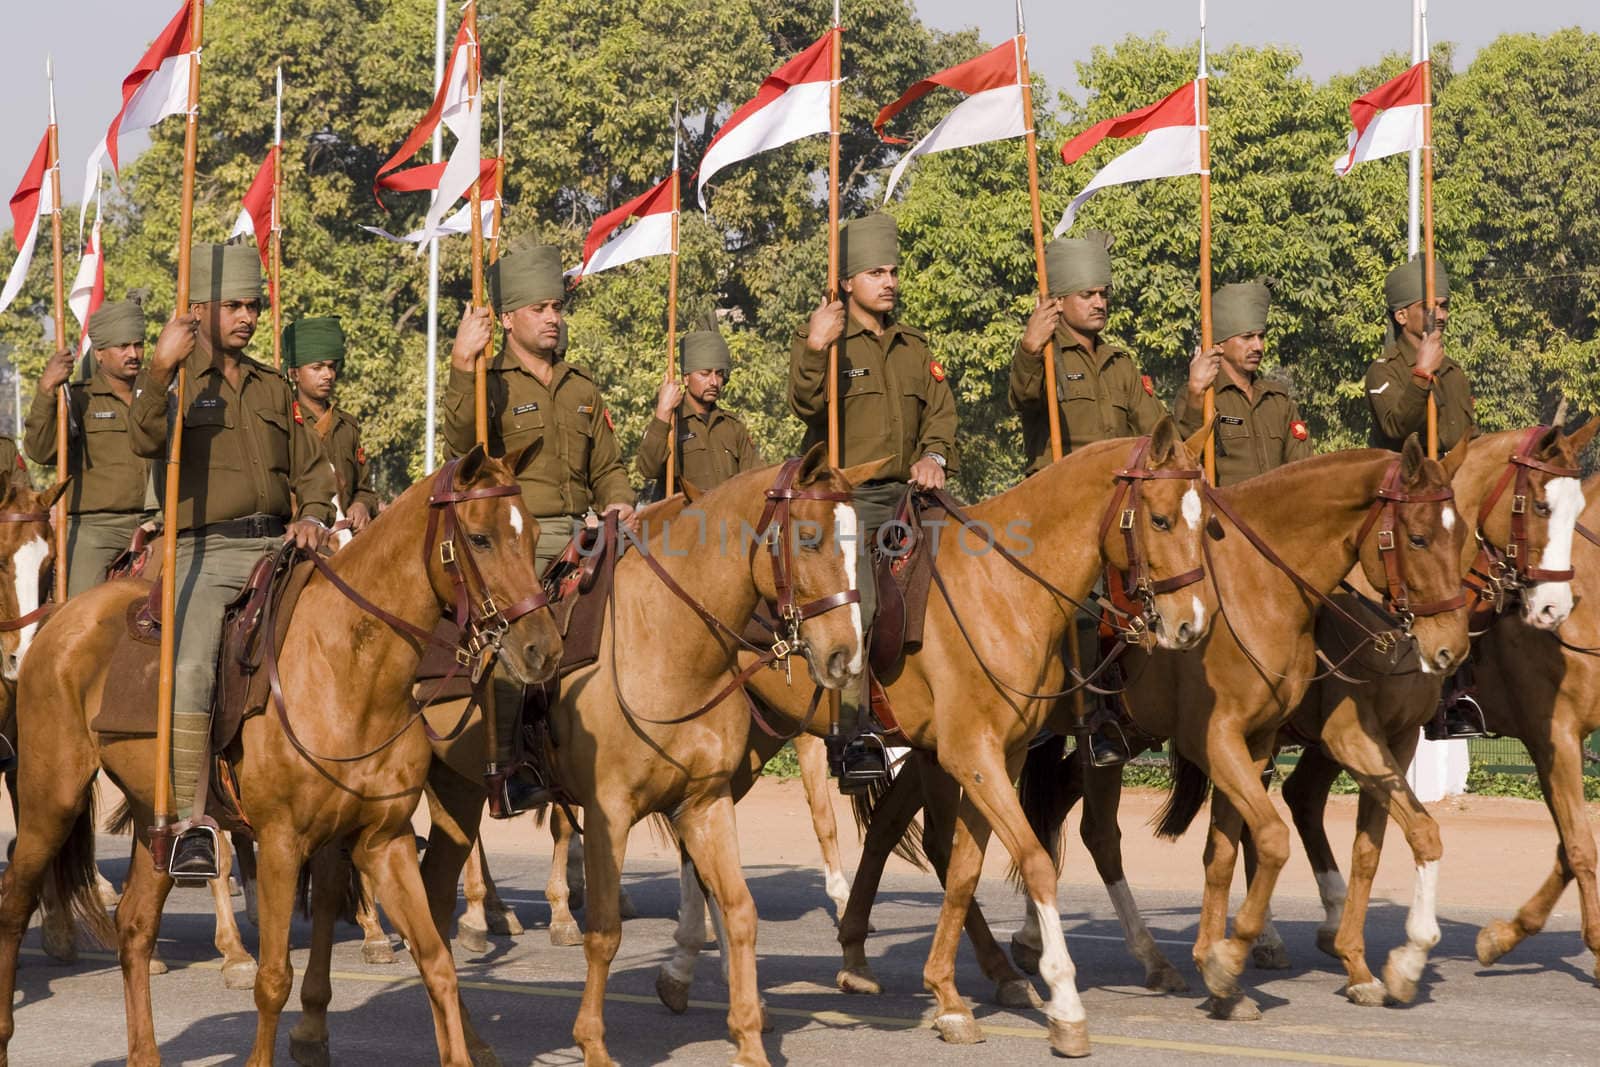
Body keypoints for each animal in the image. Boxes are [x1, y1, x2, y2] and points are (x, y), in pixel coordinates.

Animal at [0, 444, 563, 1067]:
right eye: (481, 538)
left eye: (535, 532)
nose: (543, 649)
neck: (347, 668)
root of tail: (59, 618)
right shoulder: (279, 843)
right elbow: (273, 979)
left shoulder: (383, 840)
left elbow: (436, 961)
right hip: (51, 799)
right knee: (14, 904)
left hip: (156, 821)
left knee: (135, 925)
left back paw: (145, 1052)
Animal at [656, 422, 1216, 1055]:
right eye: (1161, 519)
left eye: (1205, 521)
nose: (1193, 622)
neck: (1002, 591)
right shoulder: (971, 756)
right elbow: (1035, 861)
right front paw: (1065, 1003)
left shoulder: (999, 757)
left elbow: (966, 868)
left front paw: (949, 997)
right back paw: (694, 967)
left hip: (754, 741)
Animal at [1267, 422, 1593, 1004]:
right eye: (1537, 504)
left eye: (1577, 509)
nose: (1553, 608)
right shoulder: (1551, 734)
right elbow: (1575, 844)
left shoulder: (1395, 739)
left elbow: (1372, 846)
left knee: (1296, 797)